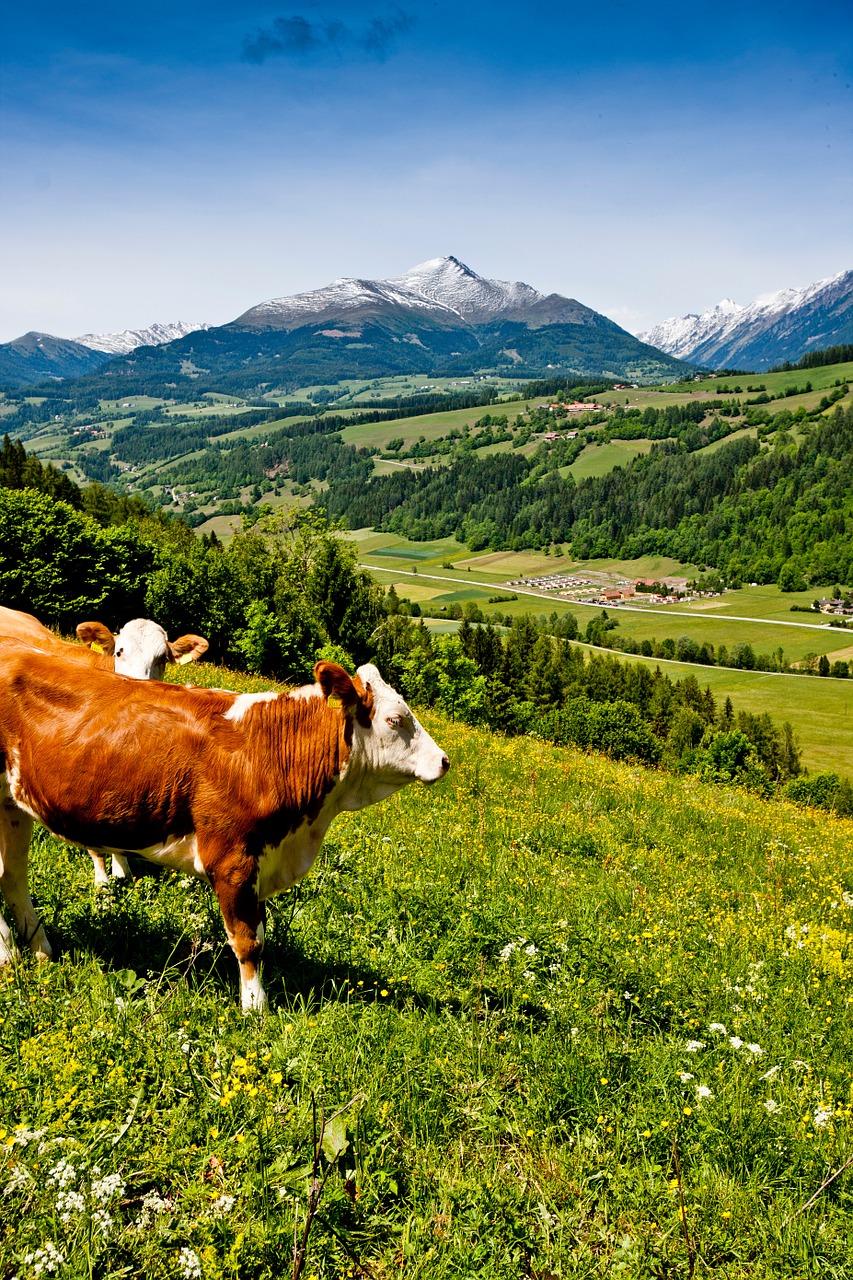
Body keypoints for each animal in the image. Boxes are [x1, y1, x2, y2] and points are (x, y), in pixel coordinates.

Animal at [0, 650, 448, 1008]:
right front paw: (255, 1007)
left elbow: (261, 934)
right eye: (396, 719)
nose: (444, 761)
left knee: (13, 877)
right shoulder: (233, 860)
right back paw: (8, 956)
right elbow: (248, 942)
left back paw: (40, 950)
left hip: (14, 806)